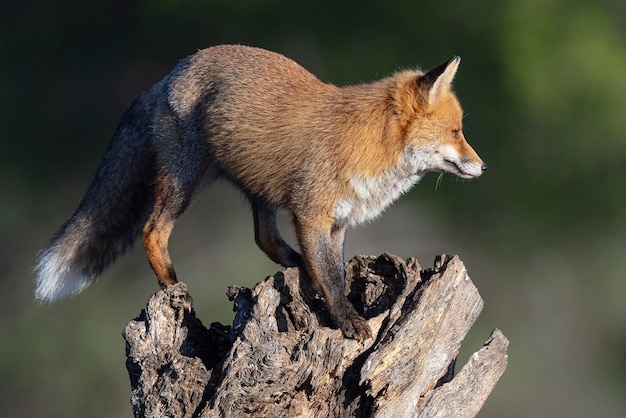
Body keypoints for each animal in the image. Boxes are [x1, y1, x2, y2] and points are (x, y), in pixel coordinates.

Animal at [34, 45, 486, 340]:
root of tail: (169, 75)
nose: (483, 167)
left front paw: (328, 297)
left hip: (258, 189)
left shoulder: (336, 222)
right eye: (456, 132)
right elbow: (333, 279)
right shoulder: (311, 214)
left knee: (265, 238)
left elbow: (333, 272)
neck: (369, 144)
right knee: (152, 232)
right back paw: (178, 295)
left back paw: (295, 268)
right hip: (184, 180)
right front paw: (347, 320)